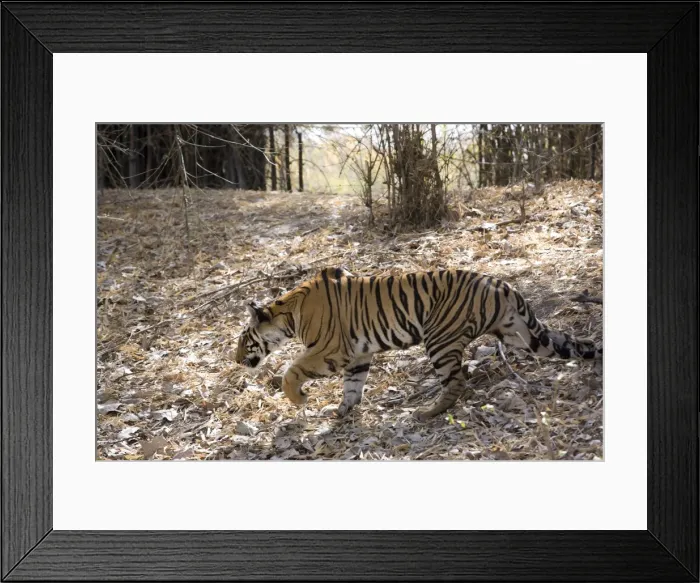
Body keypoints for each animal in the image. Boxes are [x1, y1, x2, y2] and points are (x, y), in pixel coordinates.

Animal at [235, 267, 602, 421]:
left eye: (243, 339)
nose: (237, 360)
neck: (289, 315)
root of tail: (501, 284)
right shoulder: (357, 355)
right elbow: (353, 386)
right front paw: (342, 411)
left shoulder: (331, 350)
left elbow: (291, 370)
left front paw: (300, 399)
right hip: (522, 334)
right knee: (568, 344)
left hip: (439, 338)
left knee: (456, 383)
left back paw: (426, 413)